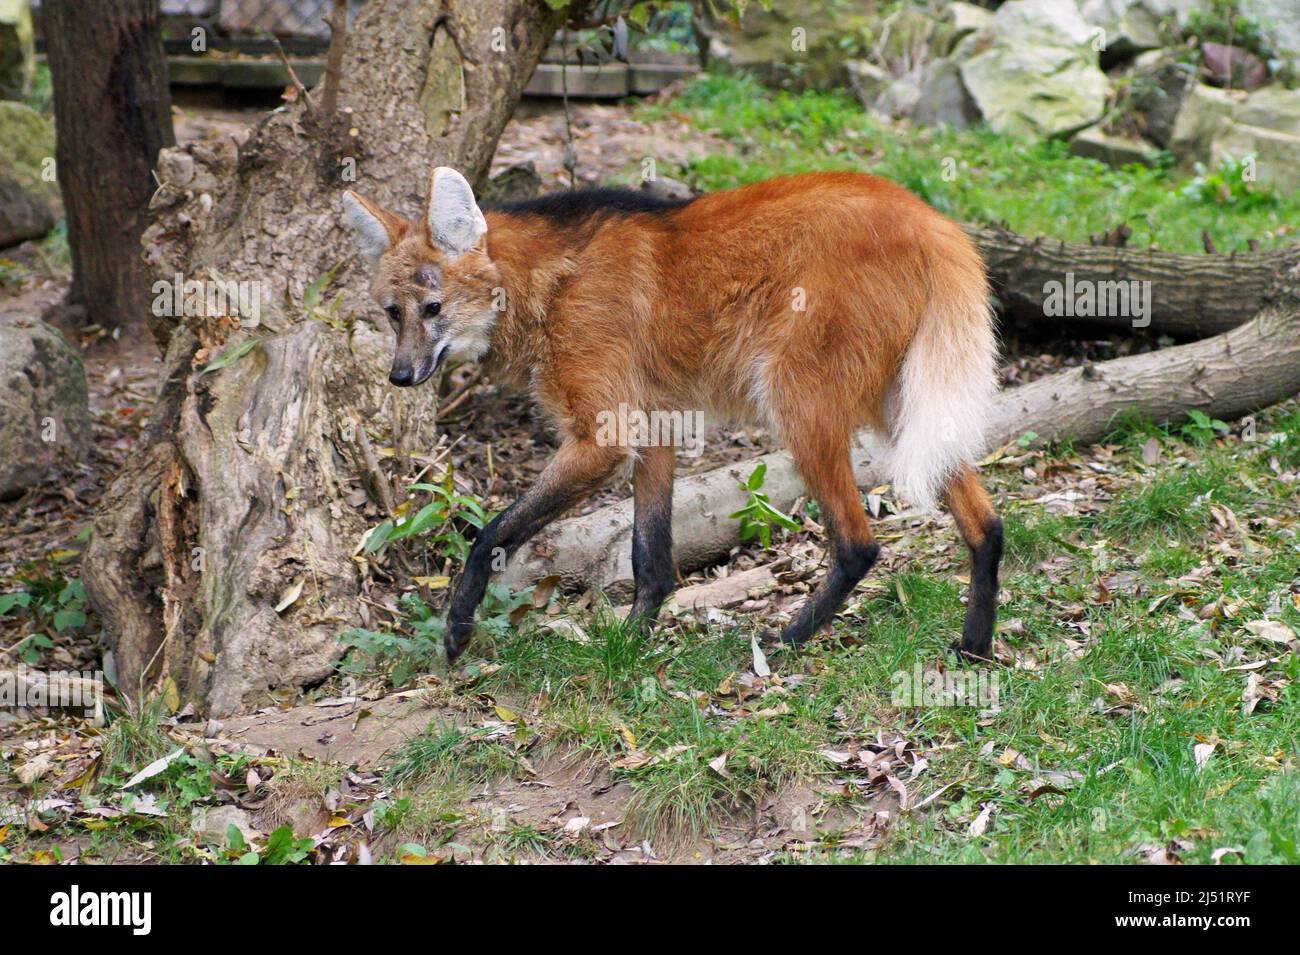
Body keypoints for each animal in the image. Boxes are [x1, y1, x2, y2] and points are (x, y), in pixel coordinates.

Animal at [340, 166, 998, 665]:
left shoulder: (604, 436)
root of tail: (930, 219)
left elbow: (490, 534)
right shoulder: (654, 420)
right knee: (986, 525)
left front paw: (456, 632)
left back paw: (783, 640)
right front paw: (631, 644)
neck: (550, 285)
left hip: (798, 401)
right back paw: (975, 647)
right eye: (393, 313)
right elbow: (649, 557)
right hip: (900, 403)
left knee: (859, 543)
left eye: (433, 308)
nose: (401, 376)